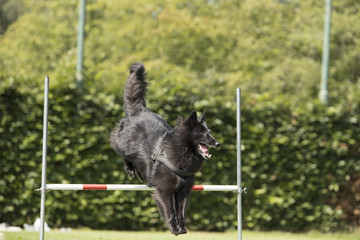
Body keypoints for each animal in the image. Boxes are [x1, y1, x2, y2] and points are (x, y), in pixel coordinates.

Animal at [109, 62, 219, 234]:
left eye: (210, 132)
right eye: (202, 133)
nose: (217, 143)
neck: (182, 152)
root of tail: (140, 110)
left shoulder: (184, 191)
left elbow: (181, 211)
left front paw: (182, 228)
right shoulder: (165, 191)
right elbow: (171, 211)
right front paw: (174, 229)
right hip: (125, 144)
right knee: (122, 151)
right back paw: (130, 169)